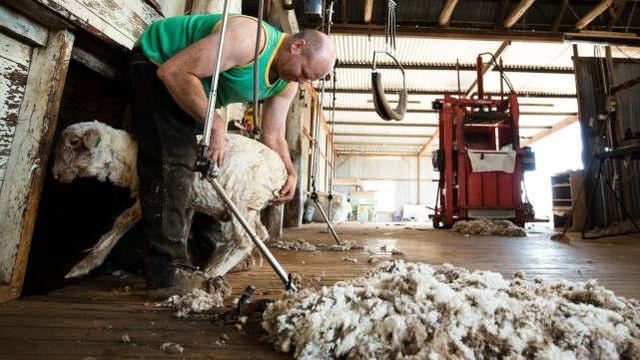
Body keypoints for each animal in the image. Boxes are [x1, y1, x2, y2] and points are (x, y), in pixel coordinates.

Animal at [51, 121, 286, 278]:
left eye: (73, 142)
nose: (55, 175)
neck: (131, 156)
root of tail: (281, 172)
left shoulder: (152, 191)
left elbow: (123, 221)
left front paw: (82, 266)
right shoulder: (187, 201)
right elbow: (180, 229)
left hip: (240, 199)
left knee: (246, 240)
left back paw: (212, 272)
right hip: (251, 205)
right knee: (261, 234)